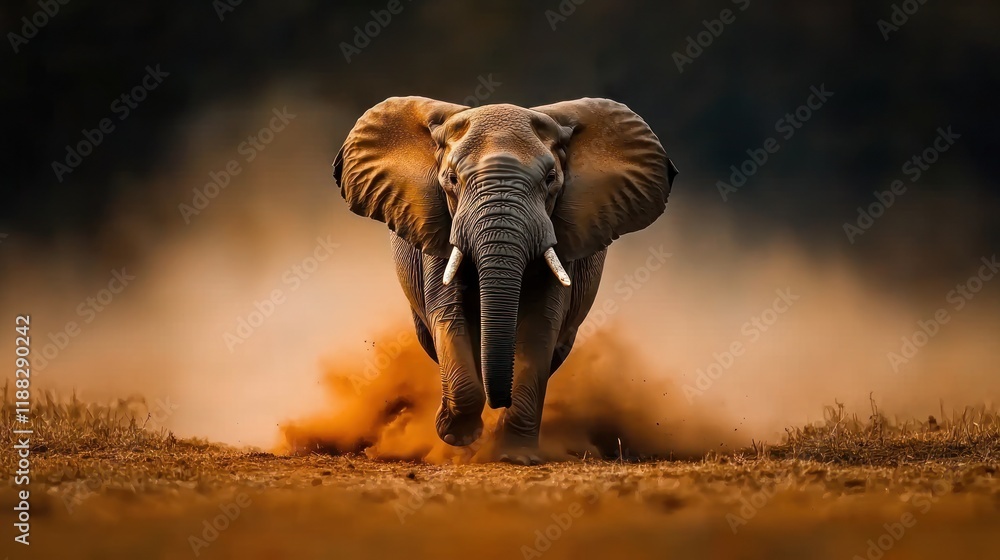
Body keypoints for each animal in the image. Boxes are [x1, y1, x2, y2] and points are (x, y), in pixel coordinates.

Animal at [333, 96, 676, 463]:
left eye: (550, 179)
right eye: (451, 179)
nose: (499, 400)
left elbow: (540, 326)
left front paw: (512, 455)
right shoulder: (437, 227)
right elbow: (448, 316)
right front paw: (454, 433)